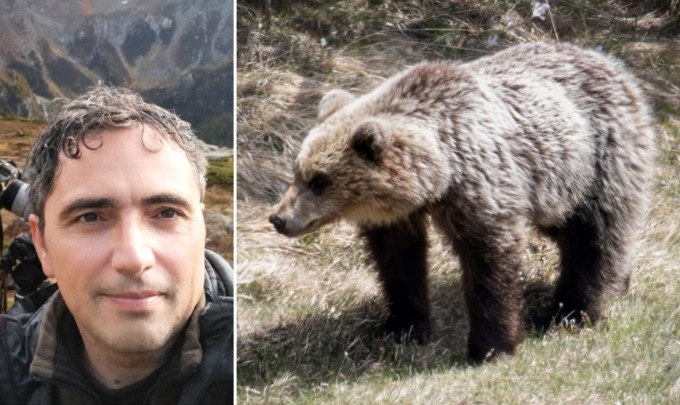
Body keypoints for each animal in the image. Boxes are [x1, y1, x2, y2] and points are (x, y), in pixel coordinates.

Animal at [268, 42, 657, 363]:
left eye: (319, 180)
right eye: (296, 172)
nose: (278, 218)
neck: (440, 172)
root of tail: (615, 66)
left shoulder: (482, 187)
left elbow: (490, 261)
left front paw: (491, 346)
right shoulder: (397, 215)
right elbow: (399, 263)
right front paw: (401, 327)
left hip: (596, 158)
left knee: (596, 236)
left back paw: (569, 312)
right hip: (557, 187)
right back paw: (618, 282)